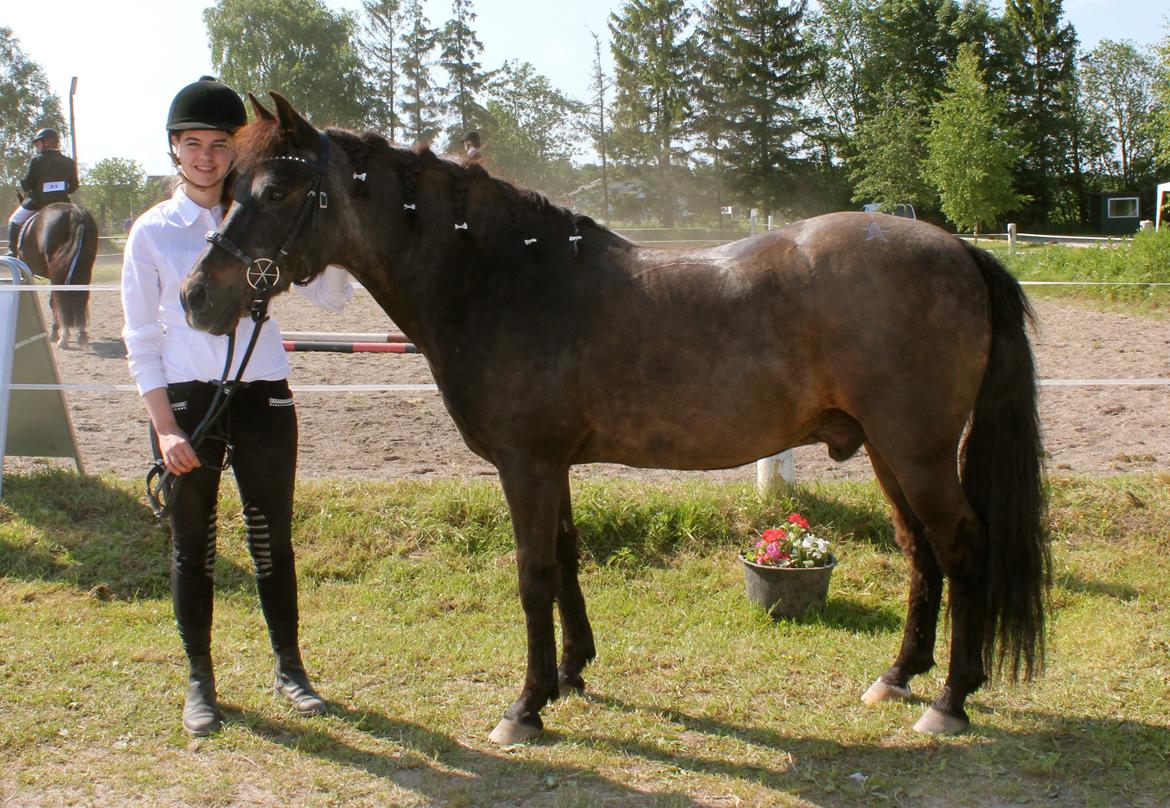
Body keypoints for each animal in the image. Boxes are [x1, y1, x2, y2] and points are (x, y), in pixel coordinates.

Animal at [13, 202, 97, 348]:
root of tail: (76, 212)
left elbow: (53, 302)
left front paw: (54, 333)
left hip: (58, 273)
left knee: (60, 300)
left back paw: (63, 337)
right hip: (84, 269)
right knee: (81, 298)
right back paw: (81, 335)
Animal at [184, 94, 1053, 743]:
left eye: (278, 191)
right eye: (229, 185)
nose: (196, 297)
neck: (506, 279)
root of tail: (958, 248)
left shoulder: (527, 466)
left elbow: (533, 574)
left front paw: (525, 707)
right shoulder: (552, 465)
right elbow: (567, 560)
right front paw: (572, 674)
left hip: (919, 452)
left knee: (962, 548)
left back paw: (949, 701)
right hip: (888, 452)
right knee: (921, 553)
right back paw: (897, 678)